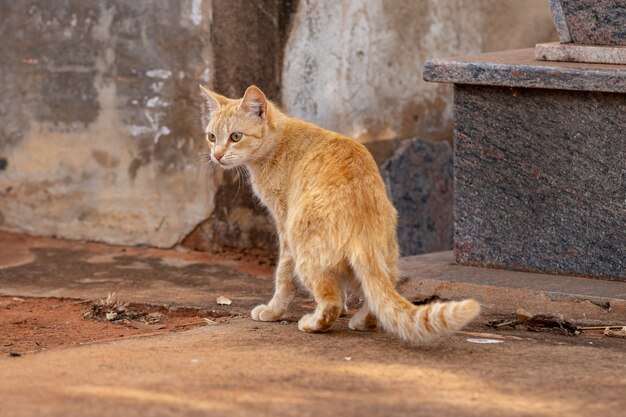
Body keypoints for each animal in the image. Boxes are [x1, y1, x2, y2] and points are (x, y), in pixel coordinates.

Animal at [197, 85, 480, 344]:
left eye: (235, 136)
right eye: (211, 136)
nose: (217, 155)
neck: (278, 142)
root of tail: (364, 224)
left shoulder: (284, 226)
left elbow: (283, 277)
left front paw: (273, 311)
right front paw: (346, 307)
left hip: (303, 249)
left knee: (329, 301)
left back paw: (313, 323)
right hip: (380, 259)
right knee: (377, 294)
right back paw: (361, 320)